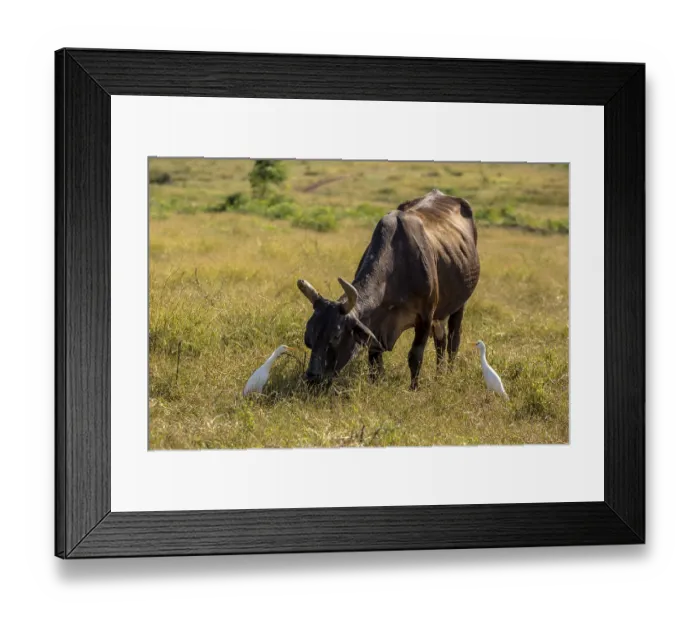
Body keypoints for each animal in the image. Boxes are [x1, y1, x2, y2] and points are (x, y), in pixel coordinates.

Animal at [297, 189, 480, 389]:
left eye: (336, 335)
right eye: (309, 333)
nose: (313, 378)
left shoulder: (425, 317)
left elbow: (415, 356)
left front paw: (413, 389)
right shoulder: (376, 326)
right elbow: (374, 361)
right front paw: (376, 385)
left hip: (459, 304)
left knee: (453, 341)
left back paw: (447, 373)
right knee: (441, 339)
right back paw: (439, 375)